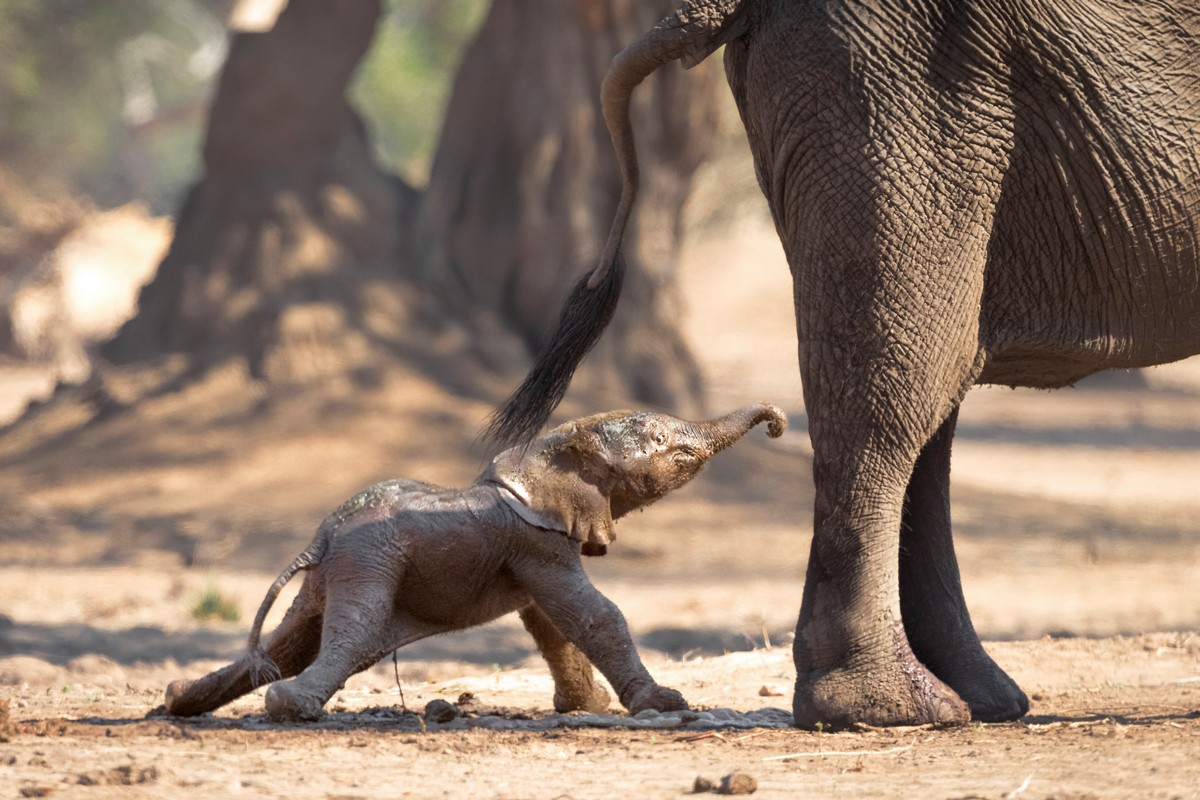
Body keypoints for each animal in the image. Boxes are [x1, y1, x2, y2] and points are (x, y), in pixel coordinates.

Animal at [162, 402, 787, 724]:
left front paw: (590, 707)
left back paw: (177, 701)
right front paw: (663, 705)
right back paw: (289, 709)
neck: (546, 451)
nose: (778, 422)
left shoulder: (532, 550)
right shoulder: (536, 542)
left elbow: (551, 623)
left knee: (289, 644)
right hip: (369, 560)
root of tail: (320, 539)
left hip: (332, 574)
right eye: (665, 446)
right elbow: (592, 613)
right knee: (353, 632)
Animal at [487, 0, 1200, 729]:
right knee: (895, 388)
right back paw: (892, 707)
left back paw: (975, 700)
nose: (773, 422)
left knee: (928, 398)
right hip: (903, 95)